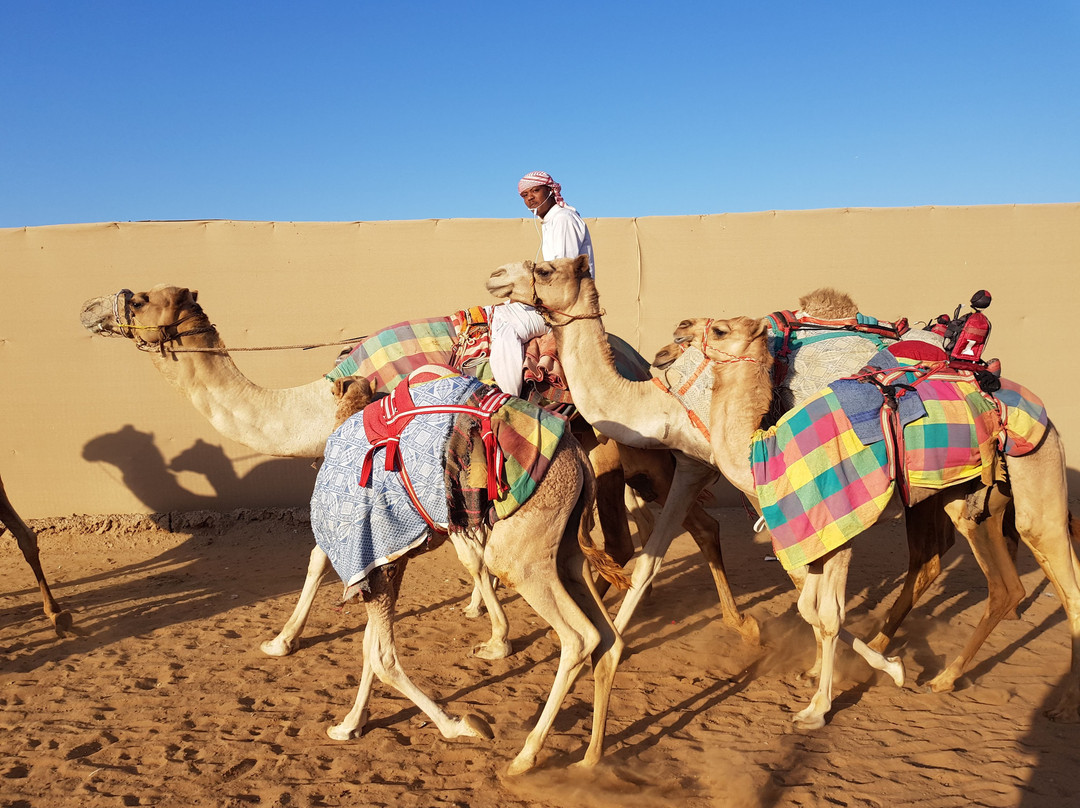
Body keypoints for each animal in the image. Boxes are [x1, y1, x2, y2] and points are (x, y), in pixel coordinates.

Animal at [79, 286, 757, 657]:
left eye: (139, 296)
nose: (87, 309)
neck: (322, 400)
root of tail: (640, 361)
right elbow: (326, 555)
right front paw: (281, 639)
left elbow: (455, 554)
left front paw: (496, 636)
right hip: (618, 461)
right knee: (665, 527)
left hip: (633, 455)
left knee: (669, 523)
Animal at [312, 369, 627, 775]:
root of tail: (580, 459)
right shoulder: (386, 564)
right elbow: (371, 648)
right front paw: (349, 724)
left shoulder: (372, 560)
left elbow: (383, 658)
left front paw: (460, 724)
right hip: (567, 547)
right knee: (609, 638)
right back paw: (591, 759)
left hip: (520, 553)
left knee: (578, 637)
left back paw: (524, 758)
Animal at [506, 255, 1080, 727]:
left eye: (543, 268)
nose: (497, 280)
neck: (664, 402)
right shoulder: (699, 463)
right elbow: (657, 560)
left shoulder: (743, 471)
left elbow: (798, 580)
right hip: (944, 489)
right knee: (938, 558)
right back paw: (908, 657)